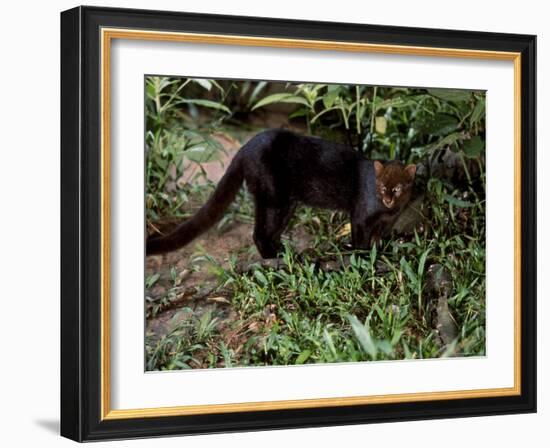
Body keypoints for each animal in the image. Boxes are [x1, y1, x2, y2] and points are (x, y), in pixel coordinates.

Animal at [148, 128, 418, 258]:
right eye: (382, 187)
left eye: (398, 188)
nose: (388, 198)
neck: (388, 211)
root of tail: (246, 147)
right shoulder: (360, 216)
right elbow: (361, 239)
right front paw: (362, 258)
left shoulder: (385, 223)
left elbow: (377, 240)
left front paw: (380, 255)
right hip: (273, 198)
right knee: (258, 233)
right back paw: (273, 259)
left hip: (286, 204)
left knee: (270, 232)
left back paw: (285, 254)